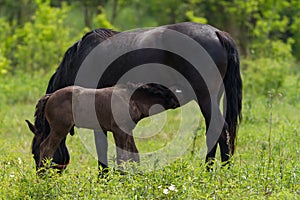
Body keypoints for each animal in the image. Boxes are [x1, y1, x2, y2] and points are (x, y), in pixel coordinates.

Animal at [25, 82, 179, 169]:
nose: (177, 103)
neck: (130, 98)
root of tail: (50, 96)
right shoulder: (119, 131)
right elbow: (123, 157)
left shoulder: (127, 131)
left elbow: (134, 156)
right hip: (59, 130)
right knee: (46, 148)